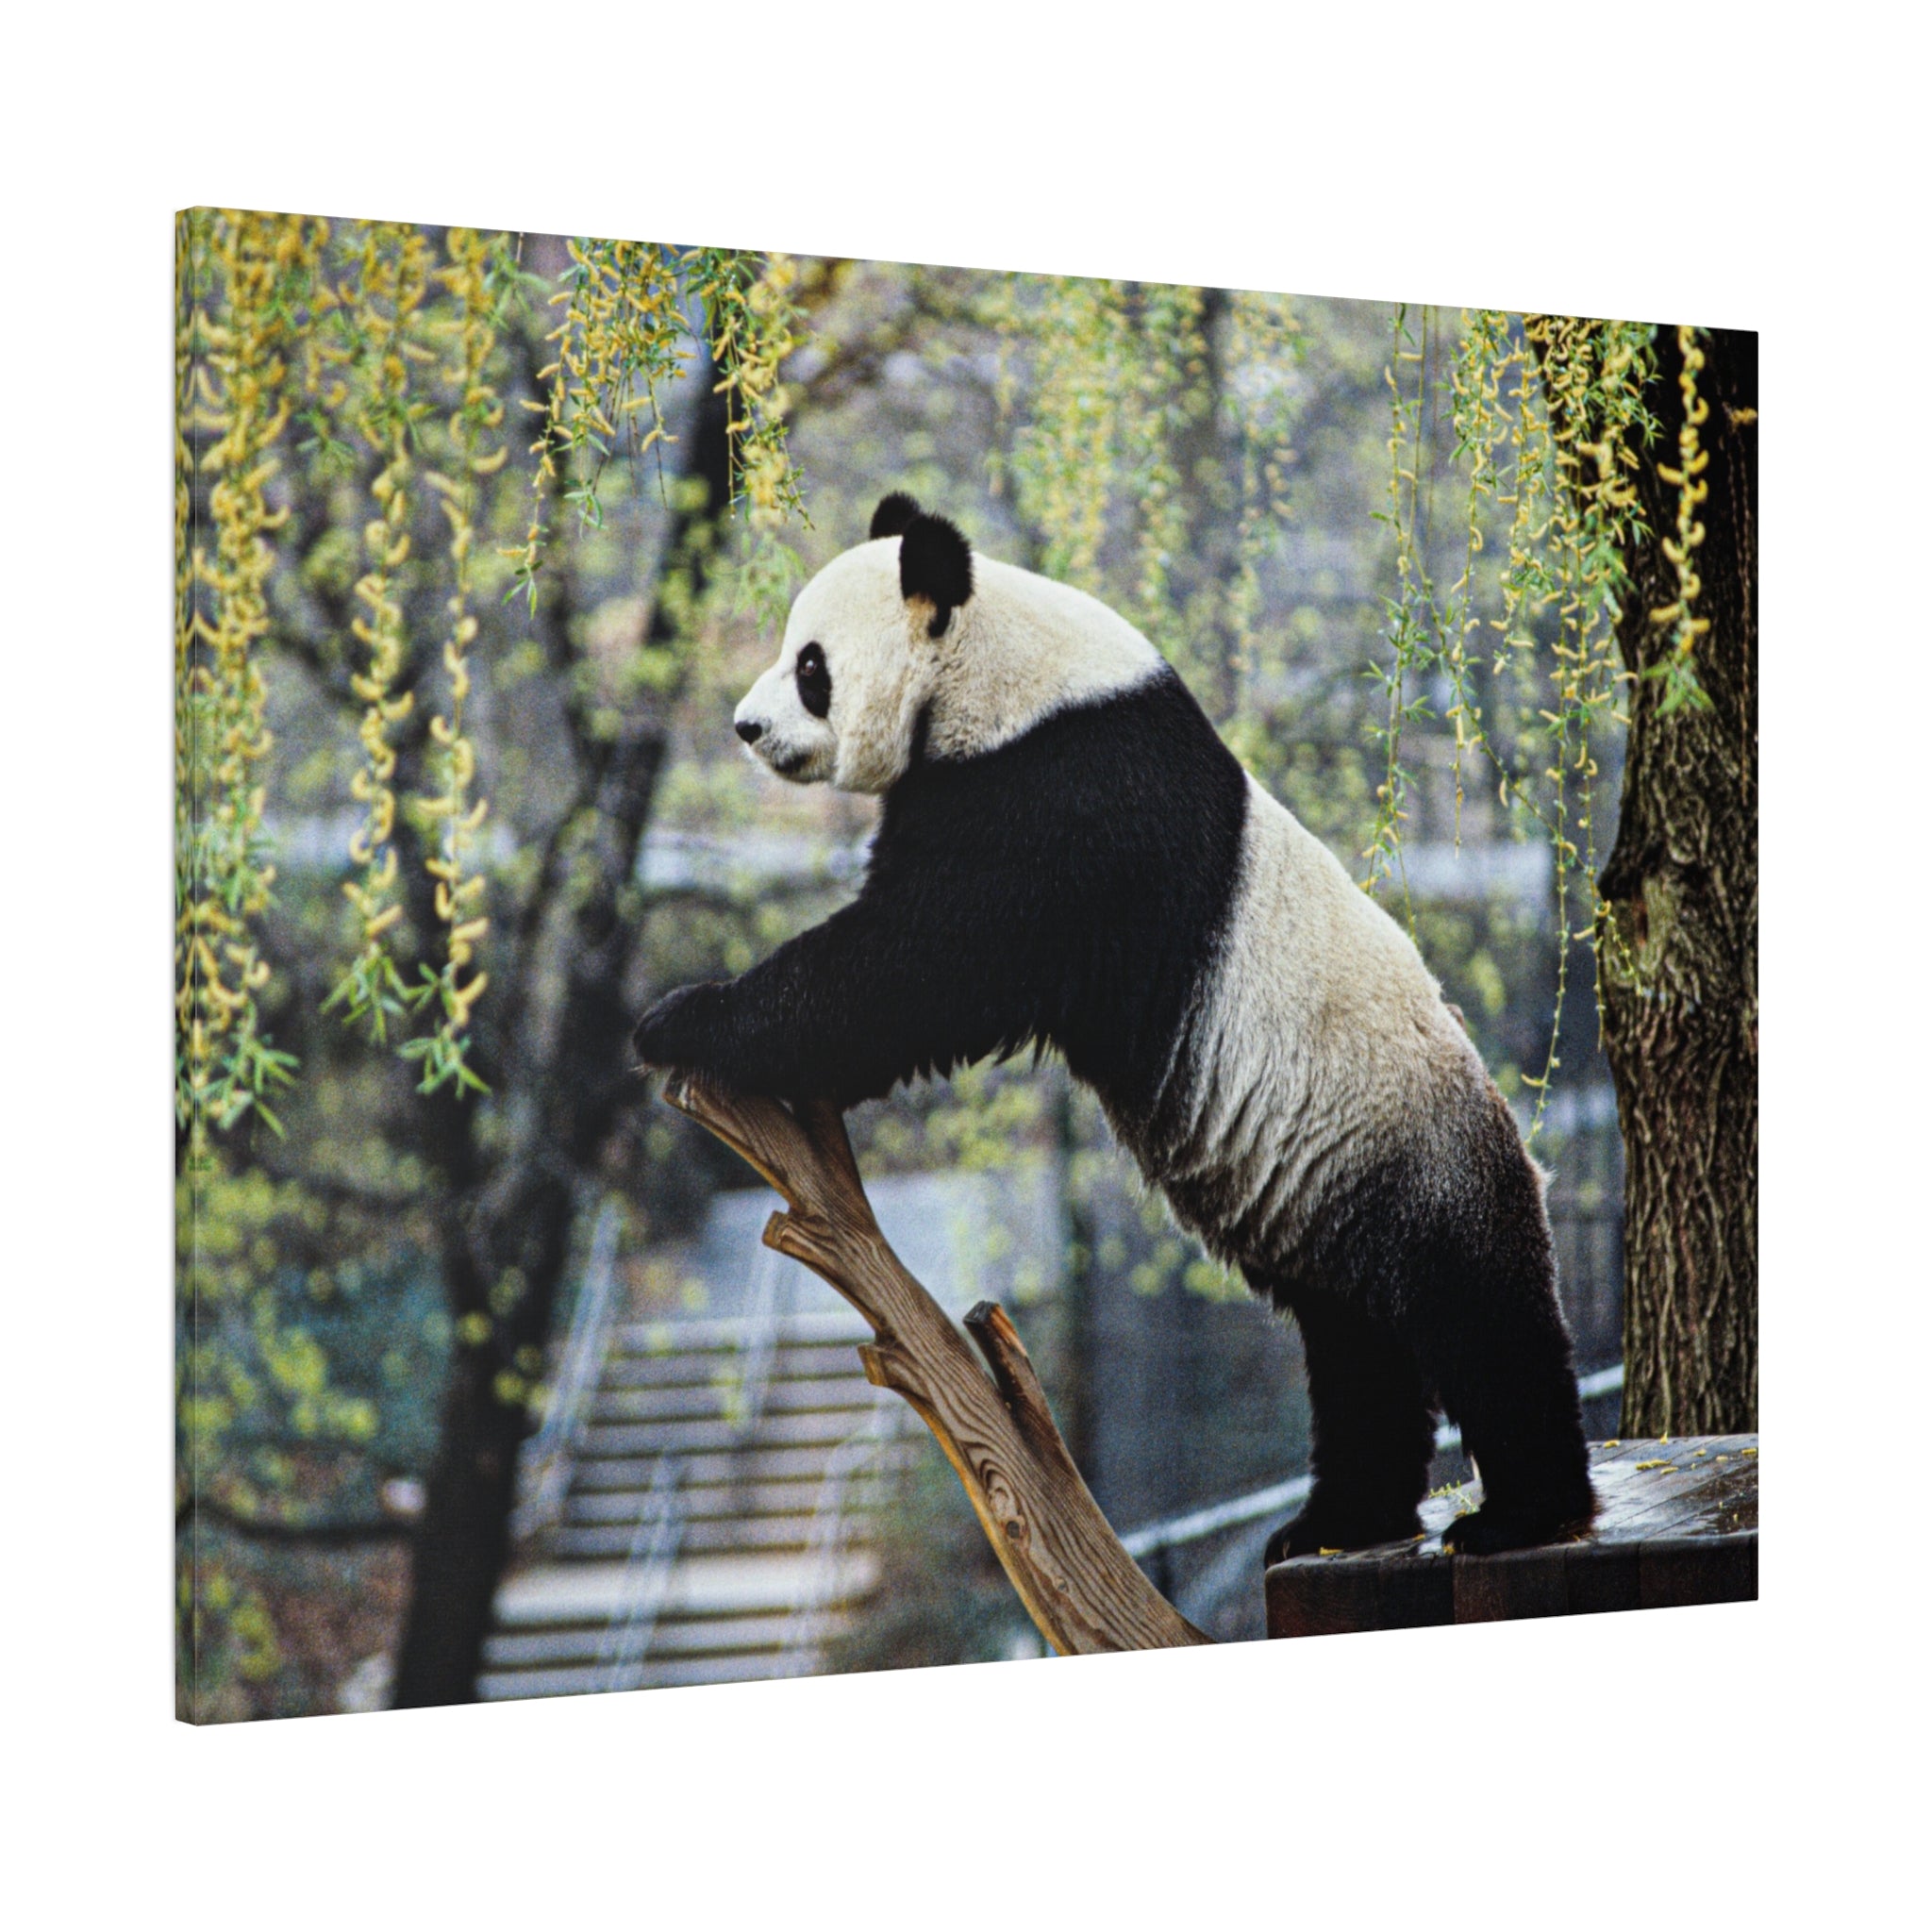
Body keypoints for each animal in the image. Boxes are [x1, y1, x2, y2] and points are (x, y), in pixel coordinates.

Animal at [634, 492, 1595, 1560]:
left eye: (811, 665)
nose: (746, 725)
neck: (1000, 668)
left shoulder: (1061, 797)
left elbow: (916, 964)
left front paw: (685, 1019)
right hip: (1333, 1193)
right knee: (1355, 1349)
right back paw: (1338, 1521)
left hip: (1415, 1155)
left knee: (1478, 1320)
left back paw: (1518, 1512)